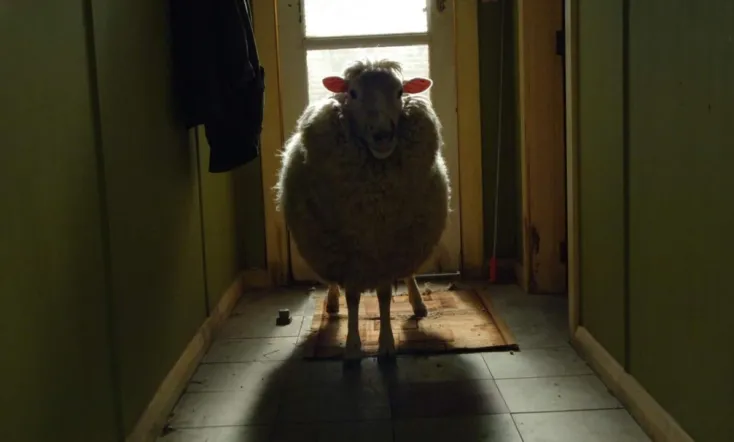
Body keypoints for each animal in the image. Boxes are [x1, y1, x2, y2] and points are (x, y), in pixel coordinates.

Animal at [274, 59, 451, 365]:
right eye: (353, 93)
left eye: (400, 92)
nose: (382, 136)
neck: (372, 198)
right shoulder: (349, 252)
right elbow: (354, 299)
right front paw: (353, 347)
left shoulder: (387, 249)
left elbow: (383, 296)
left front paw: (386, 344)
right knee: (335, 284)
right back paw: (333, 302)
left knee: (408, 273)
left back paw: (418, 304)